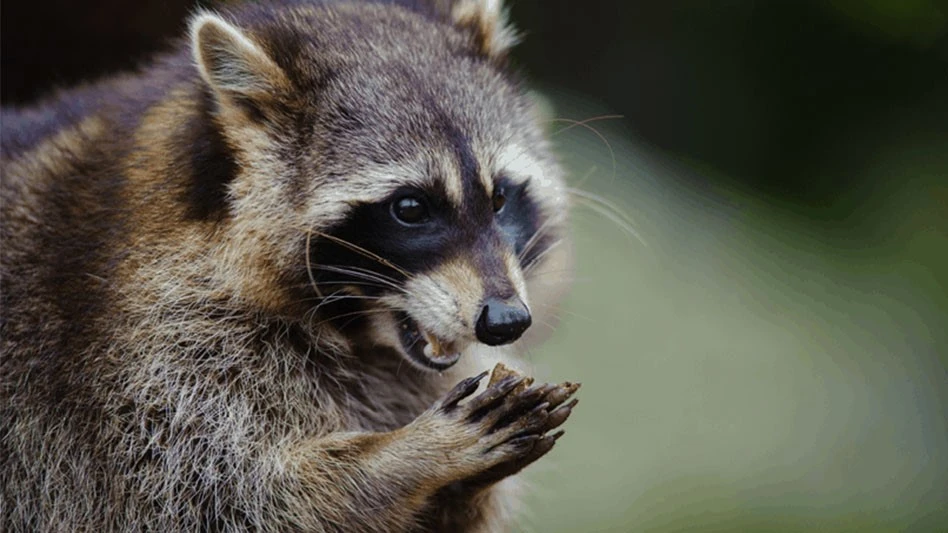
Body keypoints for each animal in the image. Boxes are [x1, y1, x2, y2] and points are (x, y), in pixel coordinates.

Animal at [0, 0, 578, 531]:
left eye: (500, 197)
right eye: (411, 208)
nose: (506, 321)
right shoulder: (137, 363)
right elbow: (224, 500)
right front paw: (401, 459)